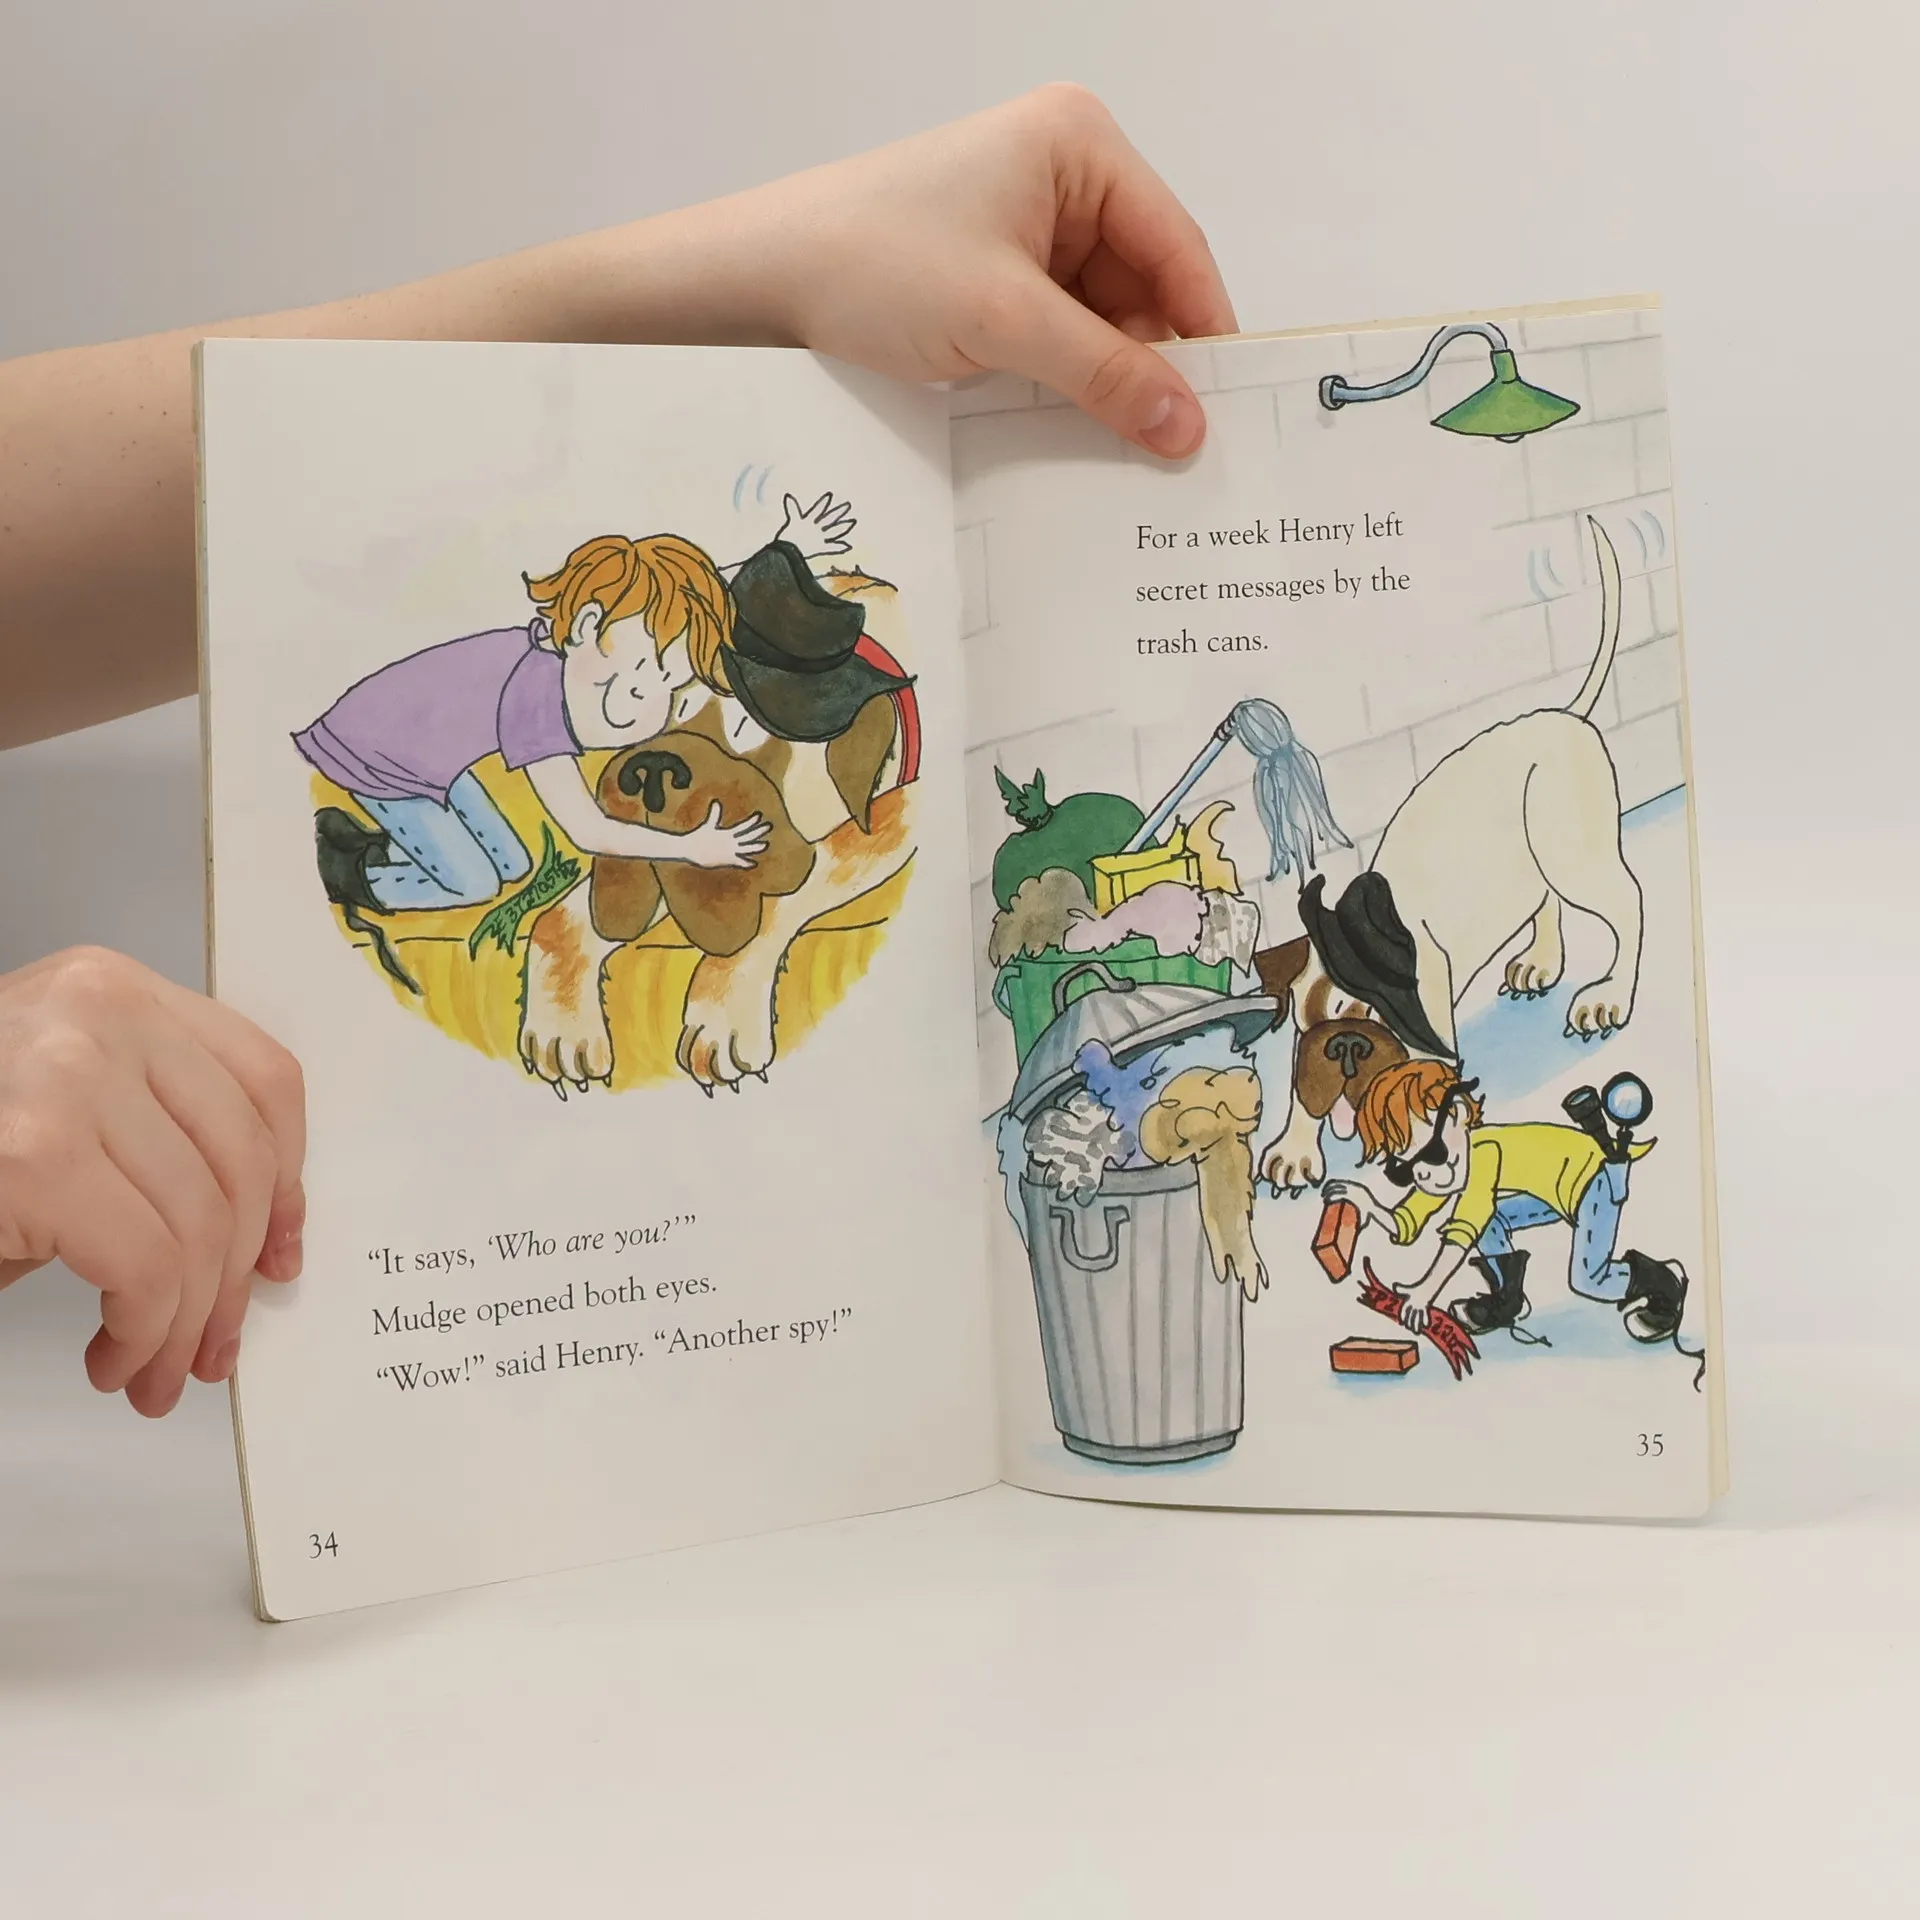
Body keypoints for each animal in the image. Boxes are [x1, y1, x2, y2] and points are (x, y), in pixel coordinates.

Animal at [516, 570, 917, 1093]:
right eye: (671, 705)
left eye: (747, 726)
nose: (652, 768)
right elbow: (561, 919)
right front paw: (561, 1021)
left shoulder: (894, 816)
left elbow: (779, 901)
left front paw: (721, 1016)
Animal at [1259, 517, 1641, 1190]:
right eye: (1305, 1027)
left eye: (1363, 1010)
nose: (1343, 1048)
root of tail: (1564, 717)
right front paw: (1295, 1146)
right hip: (1532, 852)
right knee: (1545, 901)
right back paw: (1540, 963)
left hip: (1569, 849)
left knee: (1626, 901)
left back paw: (1610, 997)